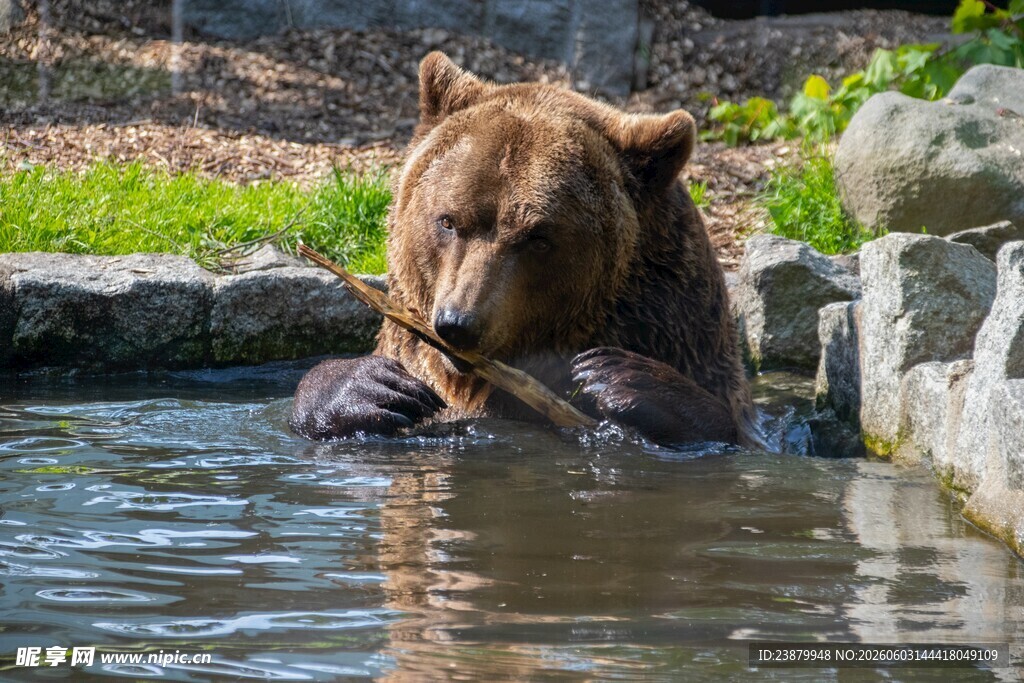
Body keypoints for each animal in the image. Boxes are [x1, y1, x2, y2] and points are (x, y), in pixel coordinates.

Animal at [290, 52, 758, 447]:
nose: (459, 324)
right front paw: (370, 387)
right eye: (448, 221)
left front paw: (620, 378)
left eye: (538, 237)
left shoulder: (679, 329)